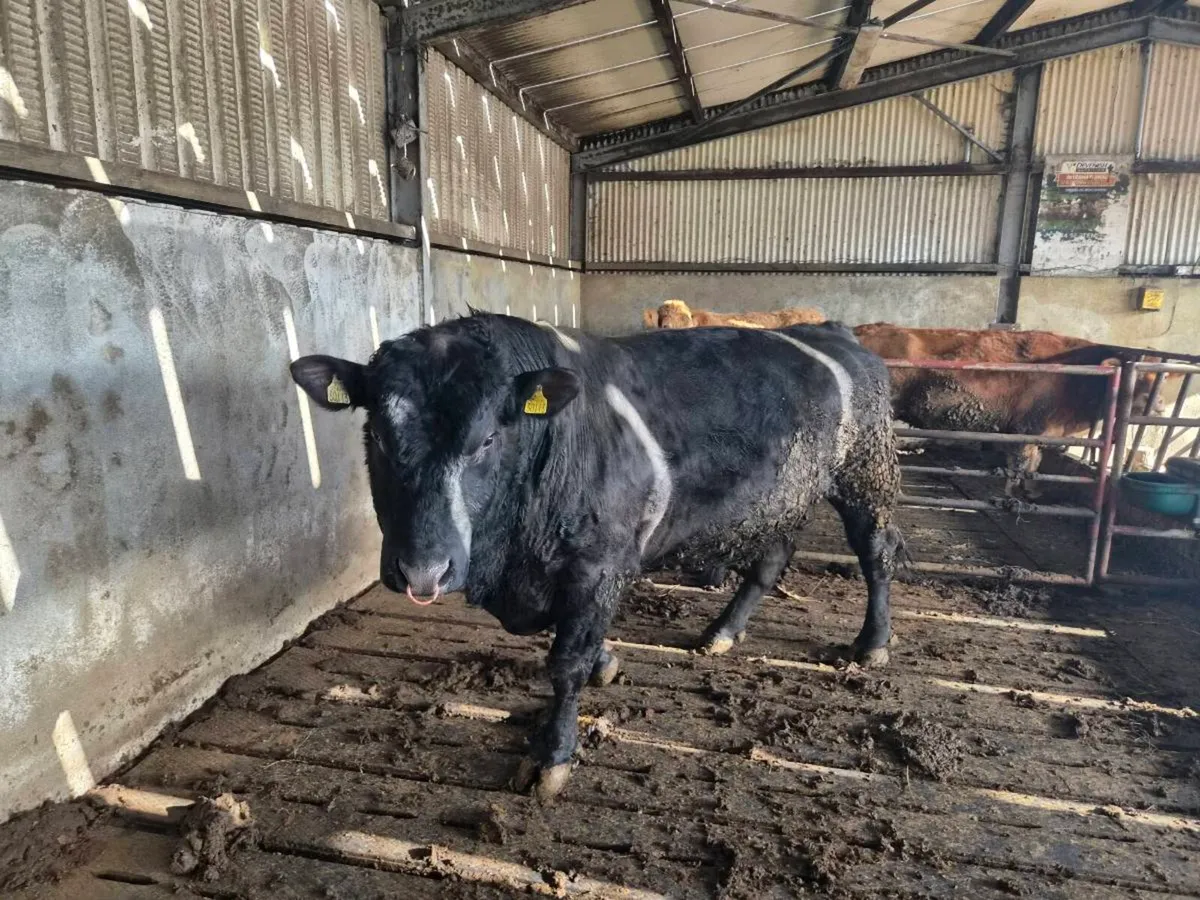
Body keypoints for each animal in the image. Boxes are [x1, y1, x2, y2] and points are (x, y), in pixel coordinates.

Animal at [291, 312, 902, 803]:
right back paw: (723, 631)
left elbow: (566, 663)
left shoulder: (598, 564)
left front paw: (552, 758)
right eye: (378, 435)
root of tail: (833, 330)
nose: (423, 570)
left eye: (486, 439)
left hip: (866, 472)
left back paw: (872, 643)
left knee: (877, 552)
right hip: (785, 493)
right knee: (772, 558)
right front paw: (606, 661)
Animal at [852, 323, 1166, 497]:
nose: (1160, 405)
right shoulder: (1028, 429)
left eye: (1158, 377)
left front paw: (1032, 491)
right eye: (1139, 378)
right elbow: (1021, 465)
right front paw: (1013, 495)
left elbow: (1034, 465)